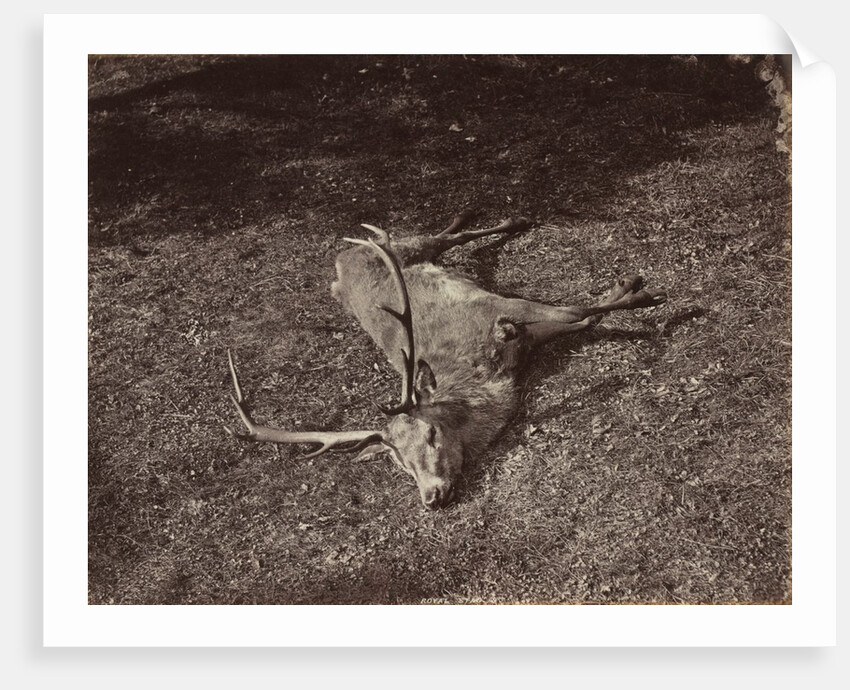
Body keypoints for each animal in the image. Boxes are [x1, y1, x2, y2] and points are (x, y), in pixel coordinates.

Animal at [225, 210, 667, 509]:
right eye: (399, 463)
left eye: (432, 434)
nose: (432, 496)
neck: (484, 372)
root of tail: (340, 260)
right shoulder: (521, 336)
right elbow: (585, 317)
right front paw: (629, 291)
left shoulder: (500, 308)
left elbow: (578, 310)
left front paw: (638, 289)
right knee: (447, 238)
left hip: (404, 247)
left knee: (436, 237)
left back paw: (507, 218)